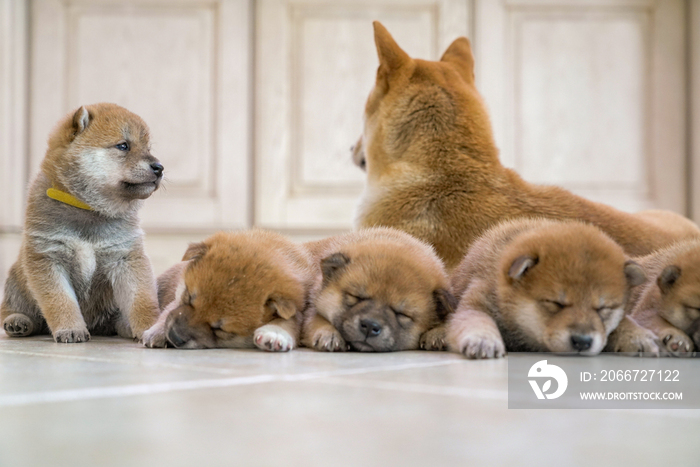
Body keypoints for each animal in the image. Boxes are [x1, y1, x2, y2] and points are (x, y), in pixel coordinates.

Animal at [2, 103, 163, 344]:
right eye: (123, 146)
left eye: (148, 148)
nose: (159, 167)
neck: (89, 210)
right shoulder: (47, 257)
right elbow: (61, 301)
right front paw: (70, 329)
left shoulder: (126, 257)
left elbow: (142, 301)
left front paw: (152, 328)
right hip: (16, 281)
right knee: (14, 309)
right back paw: (18, 321)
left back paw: (125, 326)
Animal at [144, 230, 316, 352]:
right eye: (189, 298)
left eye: (219, 328)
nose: (174, 336)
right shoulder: (176, 302)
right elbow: (169, 311)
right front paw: (157, 332)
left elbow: (290, 322)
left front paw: (275, 334)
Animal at [300, 229, 454, 352]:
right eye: (356, 297)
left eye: (402, 314)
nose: (369, 326)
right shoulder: (312, 305)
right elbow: (316, 319)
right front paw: (329, 334)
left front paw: (438, 333)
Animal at [448, 218, 644, 360]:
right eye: (556, 303)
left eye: (603, 308)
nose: (582, 342)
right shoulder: (478, 299)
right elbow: (476, 320)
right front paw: (483, 340)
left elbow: (623, 322)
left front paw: (636, 335)